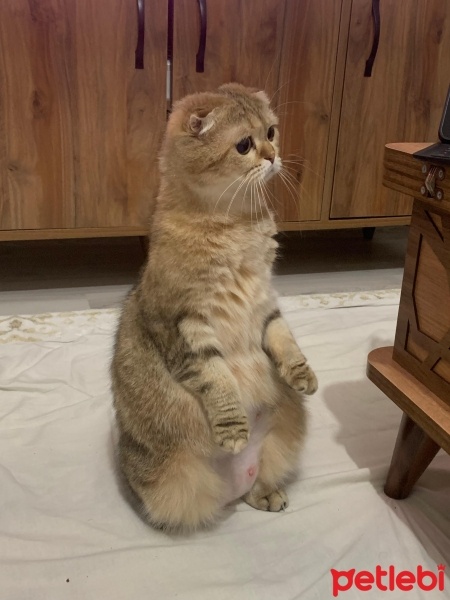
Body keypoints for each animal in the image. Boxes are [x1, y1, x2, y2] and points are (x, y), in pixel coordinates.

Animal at [111, 84, 318, 528]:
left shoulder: (265, 306)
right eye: (244, 145)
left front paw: (301, 374)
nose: (273, 156)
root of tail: (232, 487)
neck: (235, 227)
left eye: (271, 132)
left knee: (257, 484)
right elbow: (218, 380)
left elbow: (285, 340)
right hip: (163, 482)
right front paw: (233, 428)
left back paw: (265, 493)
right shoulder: (186, 327)